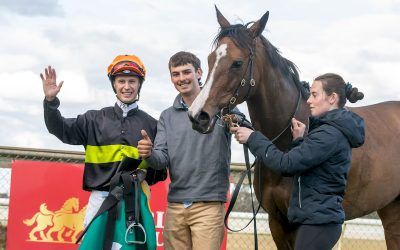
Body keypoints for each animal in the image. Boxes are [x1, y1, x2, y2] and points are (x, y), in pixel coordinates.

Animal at [188, 6, 400, 249]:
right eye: (210, 59)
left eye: (237, 63)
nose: (198, 116)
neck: (284, 143)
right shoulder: (277, 222)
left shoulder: (299, 224)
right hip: (391, 209)